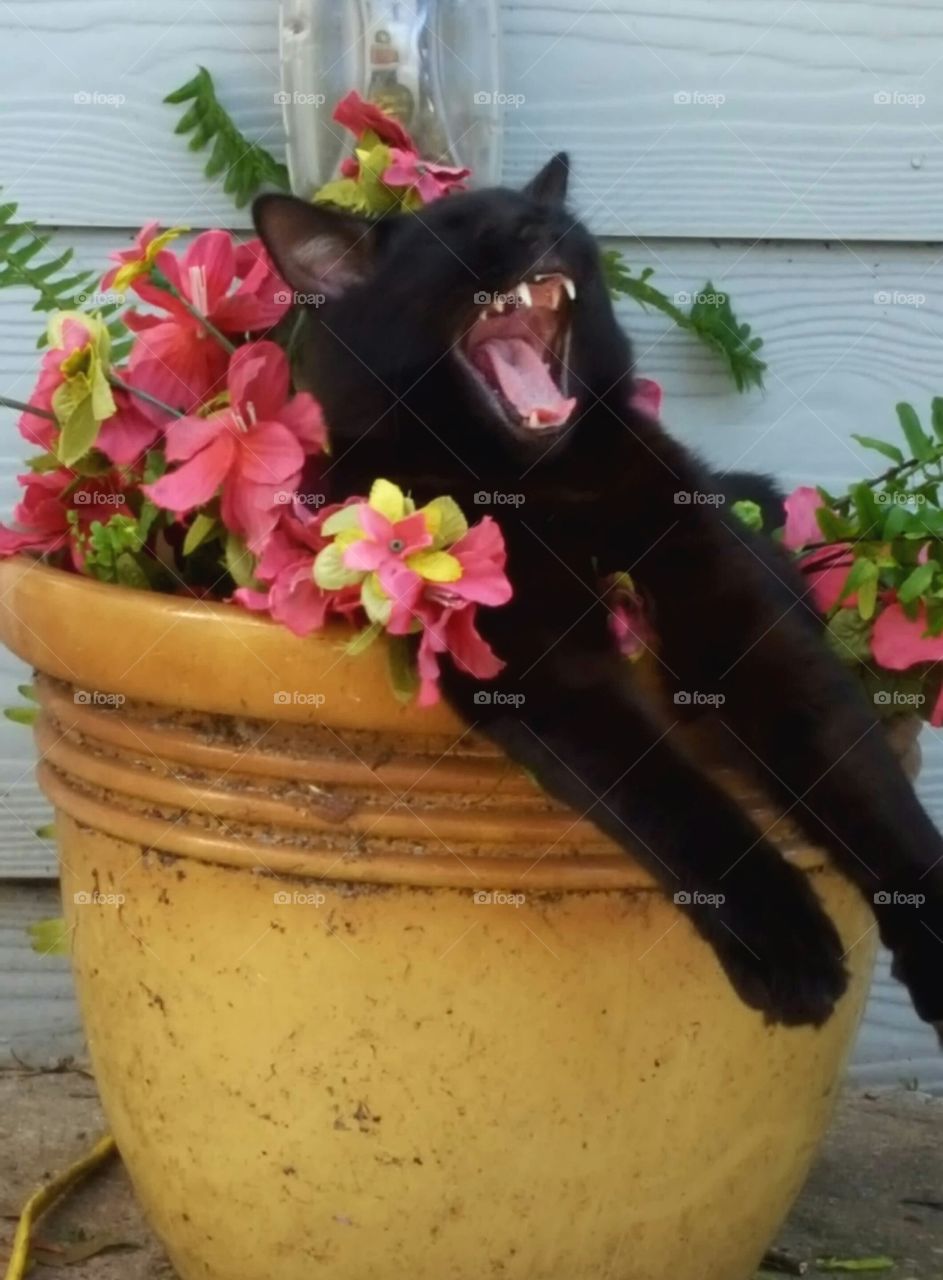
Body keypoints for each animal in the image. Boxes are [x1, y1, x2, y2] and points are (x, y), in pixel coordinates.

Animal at [253, 157, 941, 1039]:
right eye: (455, 233)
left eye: (547, 218)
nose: (545, 227)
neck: (546, 487)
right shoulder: (547, 672)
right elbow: (673, 799)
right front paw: (785, 941)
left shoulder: (750, 621)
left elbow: (860, 778)